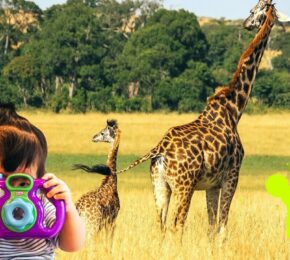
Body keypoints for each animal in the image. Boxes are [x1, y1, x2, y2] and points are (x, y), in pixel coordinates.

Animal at [118, 0, 278, 237]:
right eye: (254, 9)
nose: (247, 23)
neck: (234, 110)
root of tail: (159, 150)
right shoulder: (232, 176)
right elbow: (222, 227)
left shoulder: (212, 185)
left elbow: (211, 228)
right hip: (185, 186)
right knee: (177, 225)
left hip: (160, 185)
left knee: (161, 226)